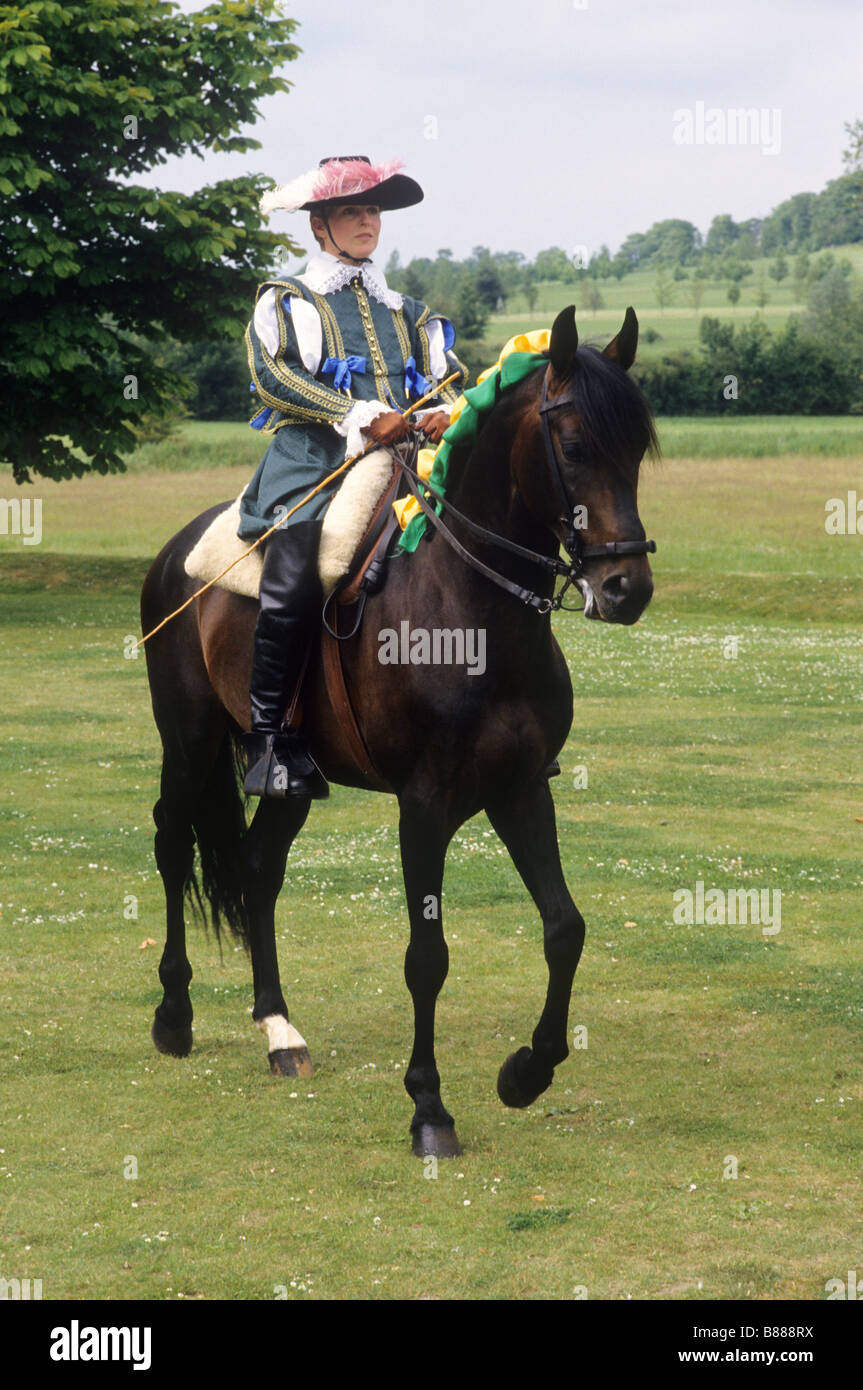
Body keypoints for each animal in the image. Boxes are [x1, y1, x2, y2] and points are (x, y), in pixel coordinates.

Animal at [139, 307, 653, 1162]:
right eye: (576, 445)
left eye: (640, 446)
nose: (625, 589)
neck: (472, 607)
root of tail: (178, 549)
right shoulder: (423, 804)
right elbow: (426, 956)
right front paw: (429, 1109)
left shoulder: (519, 789)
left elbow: (564, 928)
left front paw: (525, 1073)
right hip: (190, 742)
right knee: (174, 845)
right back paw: (174, 1017)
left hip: (292, 779)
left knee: (257, 867)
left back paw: (278, 1031)